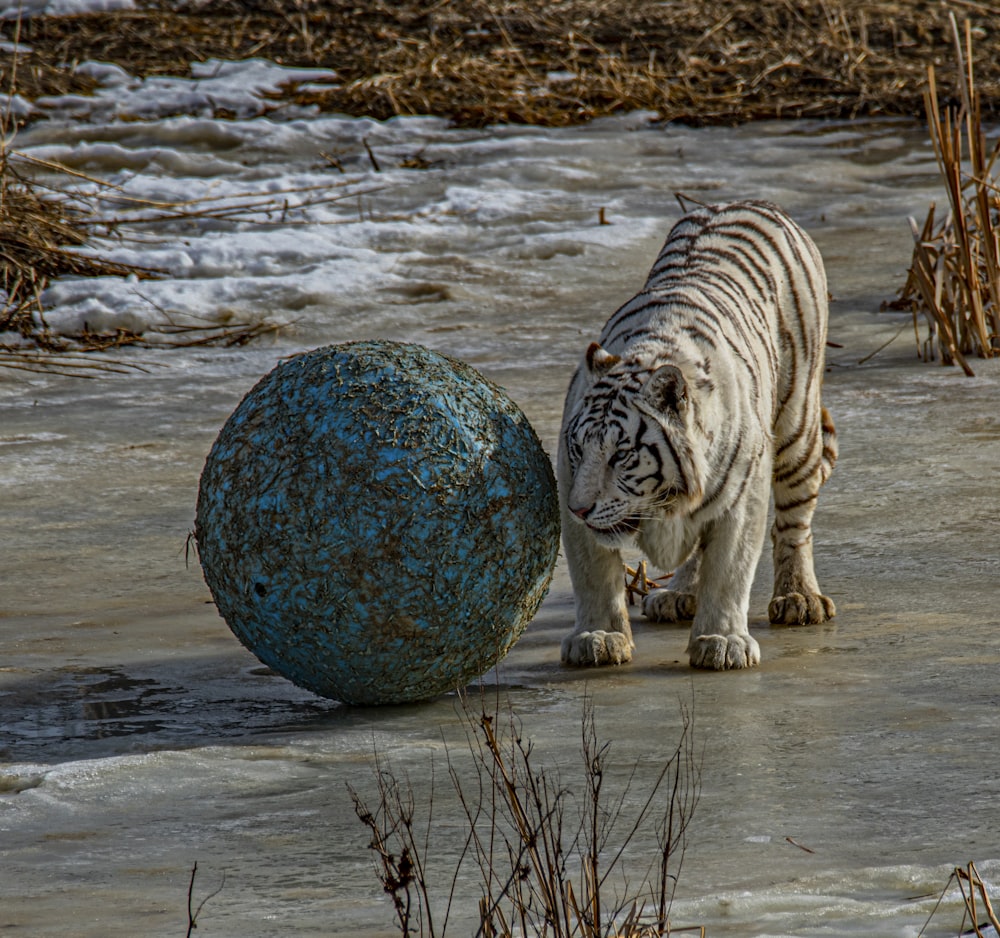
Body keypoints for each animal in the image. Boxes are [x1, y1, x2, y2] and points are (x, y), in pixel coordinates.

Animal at [564, 199, 836, 664]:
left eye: (620, 455)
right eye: (579, 450)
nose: (580, 509)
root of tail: (749, 202)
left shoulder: (743, 497)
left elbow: (729, 570)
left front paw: (722, 641)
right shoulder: (569, 484)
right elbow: (593, 573)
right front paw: (598, 636)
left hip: (797, 426)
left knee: (795, 521)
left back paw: (799, 598)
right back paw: (679, 594)